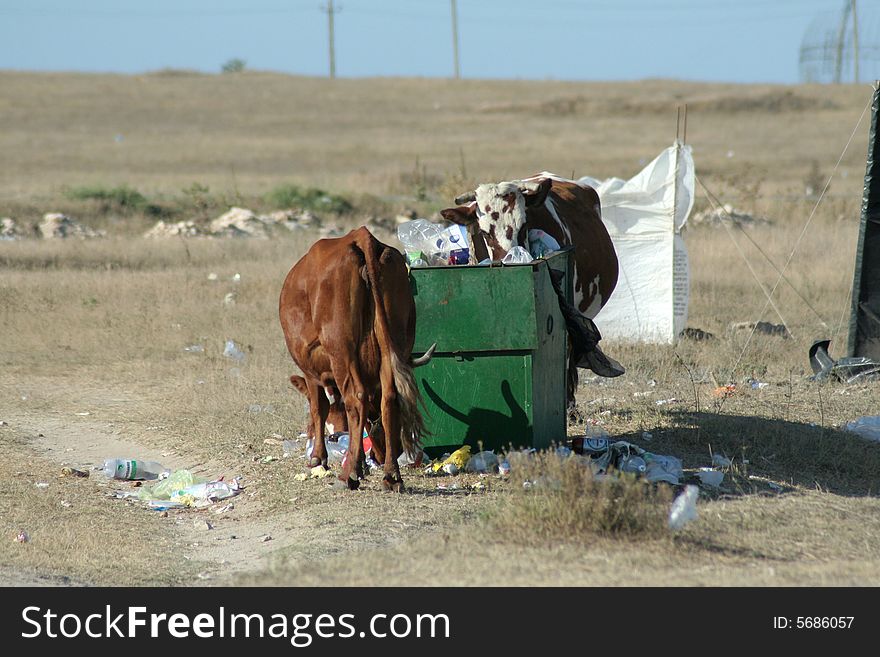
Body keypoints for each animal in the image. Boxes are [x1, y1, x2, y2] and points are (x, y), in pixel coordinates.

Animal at [276, 228, 426, 490]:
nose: (382, 454)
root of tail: (362, 237)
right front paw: (363, 463)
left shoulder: (311, 371)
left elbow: (319, 408)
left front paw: (319, 458)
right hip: (395, 343)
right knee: (389, 398)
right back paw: (391, 474)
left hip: (341, 349)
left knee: (356, 398)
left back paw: (350, 475)